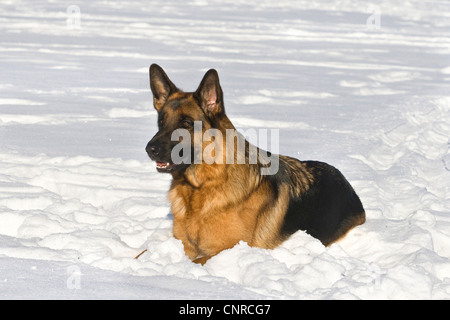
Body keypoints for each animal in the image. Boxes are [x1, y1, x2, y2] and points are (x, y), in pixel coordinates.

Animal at [146, 63, 364, 264]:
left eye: (186, 124)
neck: (201, 187)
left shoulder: (225, 250)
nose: (150, 149)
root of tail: (341, 177)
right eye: (161, 122)